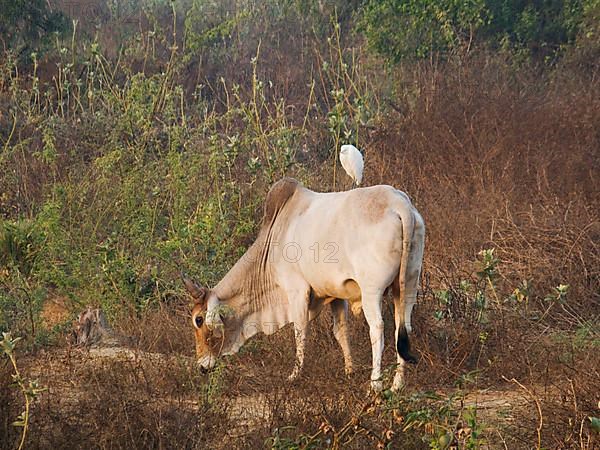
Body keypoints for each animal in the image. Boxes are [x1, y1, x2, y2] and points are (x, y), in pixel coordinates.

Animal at [184, 178, 426, 392]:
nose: (202, 366)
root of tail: (400, 204)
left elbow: (299, 331)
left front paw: (294, 375)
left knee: (377, 329)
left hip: (371, 292)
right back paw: (397, 384)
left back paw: (375, 384)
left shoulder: (297, 290)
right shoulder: (337, 294)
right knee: (403, 327)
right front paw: (349, 371)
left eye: (198, 320)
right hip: (406, 287)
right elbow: (341, 331)